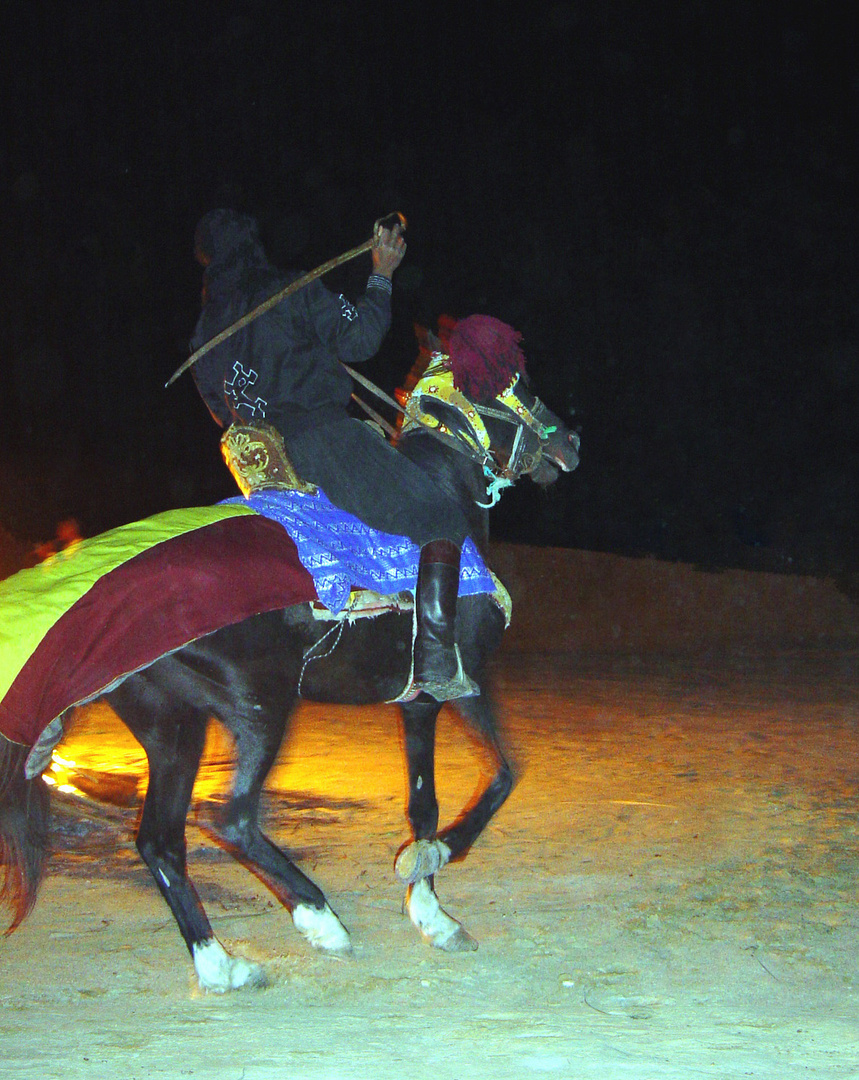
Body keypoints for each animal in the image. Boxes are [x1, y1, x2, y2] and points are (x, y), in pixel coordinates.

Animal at [0, 360, 579, 989]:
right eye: (517, 382)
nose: (570, 442)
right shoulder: (452, 687)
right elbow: (493, 780)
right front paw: (432, 880)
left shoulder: (416, 702)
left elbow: (432, 801)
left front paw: (431, 911)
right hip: (260, 709)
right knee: (228, 820)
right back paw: (320, 920)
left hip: (174, 728)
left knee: (160, 841)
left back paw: (221, 964)